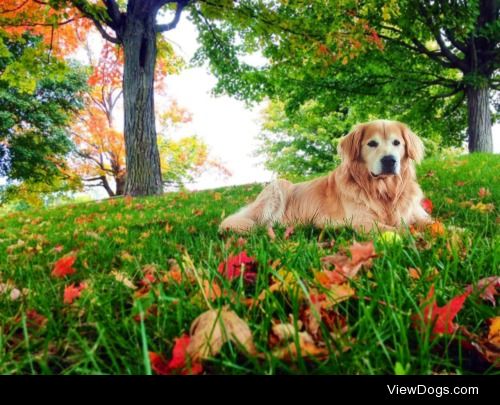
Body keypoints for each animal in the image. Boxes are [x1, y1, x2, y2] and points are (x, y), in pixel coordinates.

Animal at [221, 118, 432, 232]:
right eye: (372, 143)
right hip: (279, 186)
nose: (389, 161)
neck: (383, 190)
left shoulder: (418, 214)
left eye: (397, 143)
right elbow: (399, 232)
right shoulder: (363, 221)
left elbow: (435, 225)